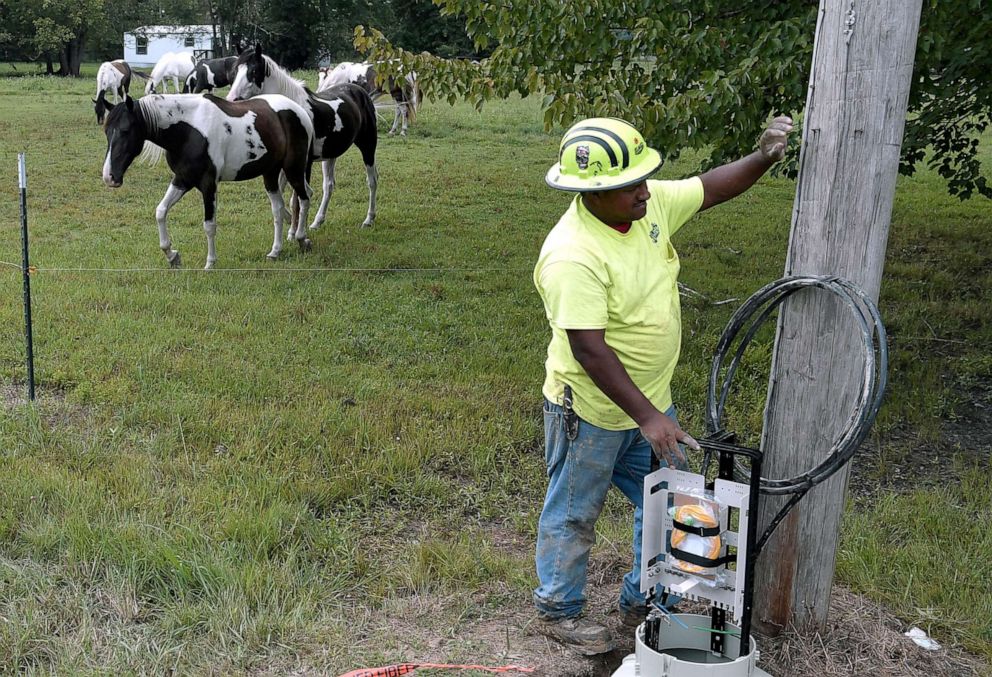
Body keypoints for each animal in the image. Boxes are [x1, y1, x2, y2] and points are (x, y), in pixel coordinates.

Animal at [97, 90, 314, 270]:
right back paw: (275, 251)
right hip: (270, 173)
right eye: (106, 130)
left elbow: (209, 225)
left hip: (294, 170)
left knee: (304, 199)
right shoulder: (182, 179)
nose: (109, 177)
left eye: (125, 130)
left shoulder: (208, 184)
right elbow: (160, 212)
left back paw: (302, 239)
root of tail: (300, 111)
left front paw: (210, 263)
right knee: (278, 209)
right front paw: (172, 256)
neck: (189, 131)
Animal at [229, 44, 380, 235]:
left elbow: (297, 198)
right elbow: (284, 194)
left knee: (372, 180)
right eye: (235, 71)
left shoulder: (303, 163)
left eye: (254, 71)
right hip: (330, 155)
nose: (232, 99)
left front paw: (294, 233)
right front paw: (290, 224)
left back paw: (369, 219)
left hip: (368, 146)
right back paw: (317, 221)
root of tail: (360, 91)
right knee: (328, 186)